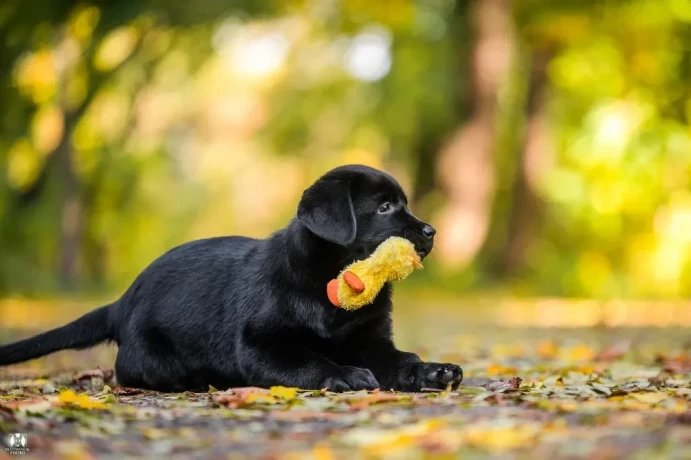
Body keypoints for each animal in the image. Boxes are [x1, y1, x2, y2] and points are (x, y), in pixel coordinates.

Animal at [2, 165, 464, 392]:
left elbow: (400, 359)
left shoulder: (370, 340)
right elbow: (310, 359)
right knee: (130, 371)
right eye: (384, 208)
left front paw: (432, 371)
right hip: (152, 356)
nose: (431, 231)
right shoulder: (260, 344)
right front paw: (345, 374)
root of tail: (122, 301)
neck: (330, 285)